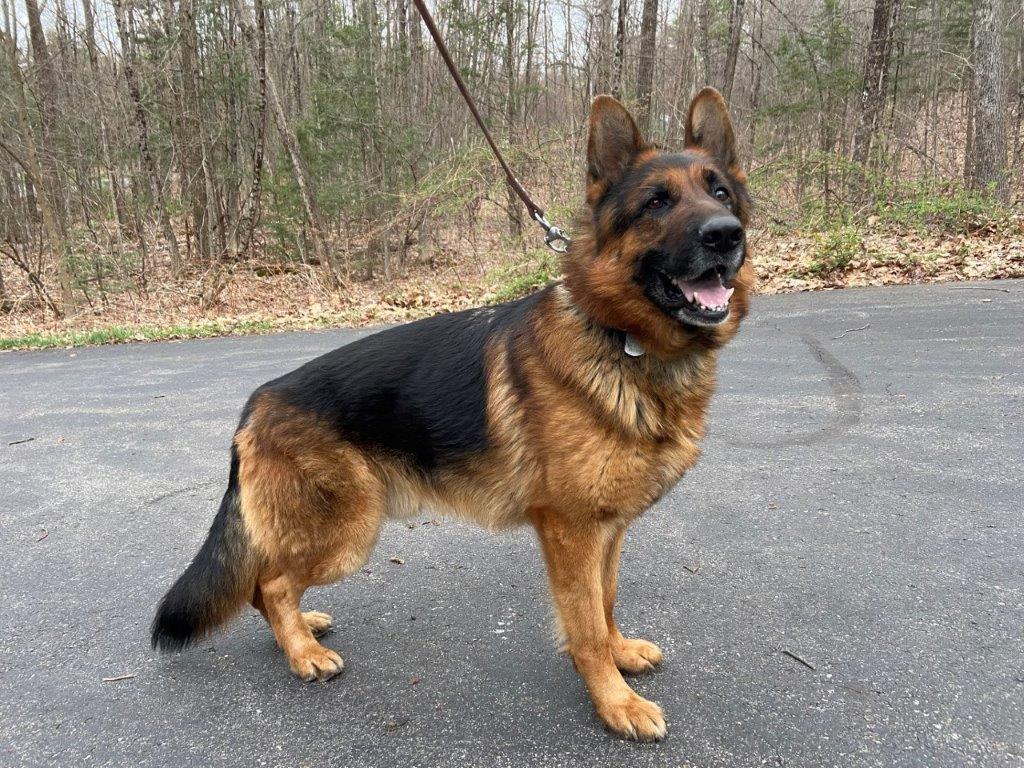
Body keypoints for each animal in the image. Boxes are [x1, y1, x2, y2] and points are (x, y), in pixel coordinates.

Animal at [151, 87, 753, 742]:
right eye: (656, 202)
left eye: (720, 192)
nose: (727, 235)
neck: (624, 341)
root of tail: (257, 400)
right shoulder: (571, 531)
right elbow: (586, 625)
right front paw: (615, 701)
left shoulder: (608, 529)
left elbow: (607, 601)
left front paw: (620, 656)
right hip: (348, 532)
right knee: (271, 583)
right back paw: (303, 654)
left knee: (265, 588)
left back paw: (303, 632)